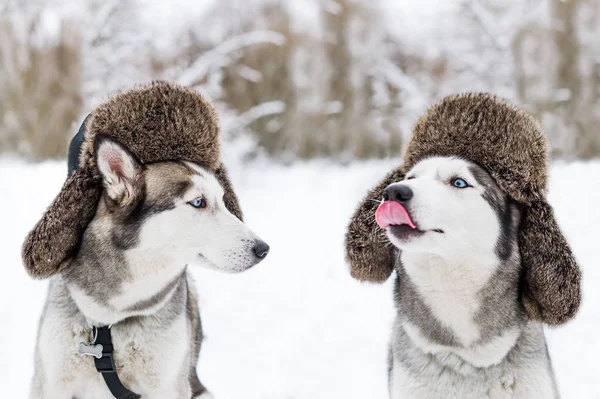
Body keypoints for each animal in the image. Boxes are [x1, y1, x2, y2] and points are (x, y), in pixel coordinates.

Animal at [22, 82, 268, 399]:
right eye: (198, 202)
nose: (263, 249)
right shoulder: (51, 382)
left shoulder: (168, 385)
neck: (112, 318)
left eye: (224, 201)